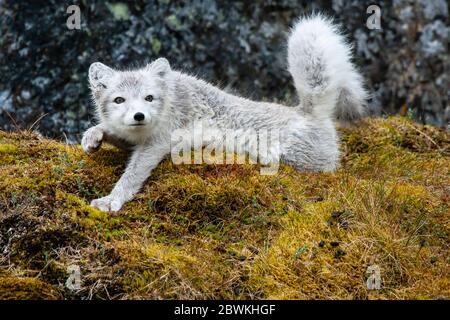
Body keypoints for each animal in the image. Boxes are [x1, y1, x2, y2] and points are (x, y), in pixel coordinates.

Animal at [82, 16, 368, 214]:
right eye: (119, 100)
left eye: (149, 98)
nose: (139, 116)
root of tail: (308, 111)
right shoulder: (134, 139)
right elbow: (108, 131)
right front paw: (93, 137)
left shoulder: (158, 143)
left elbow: (131, 176)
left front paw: (111, 200)